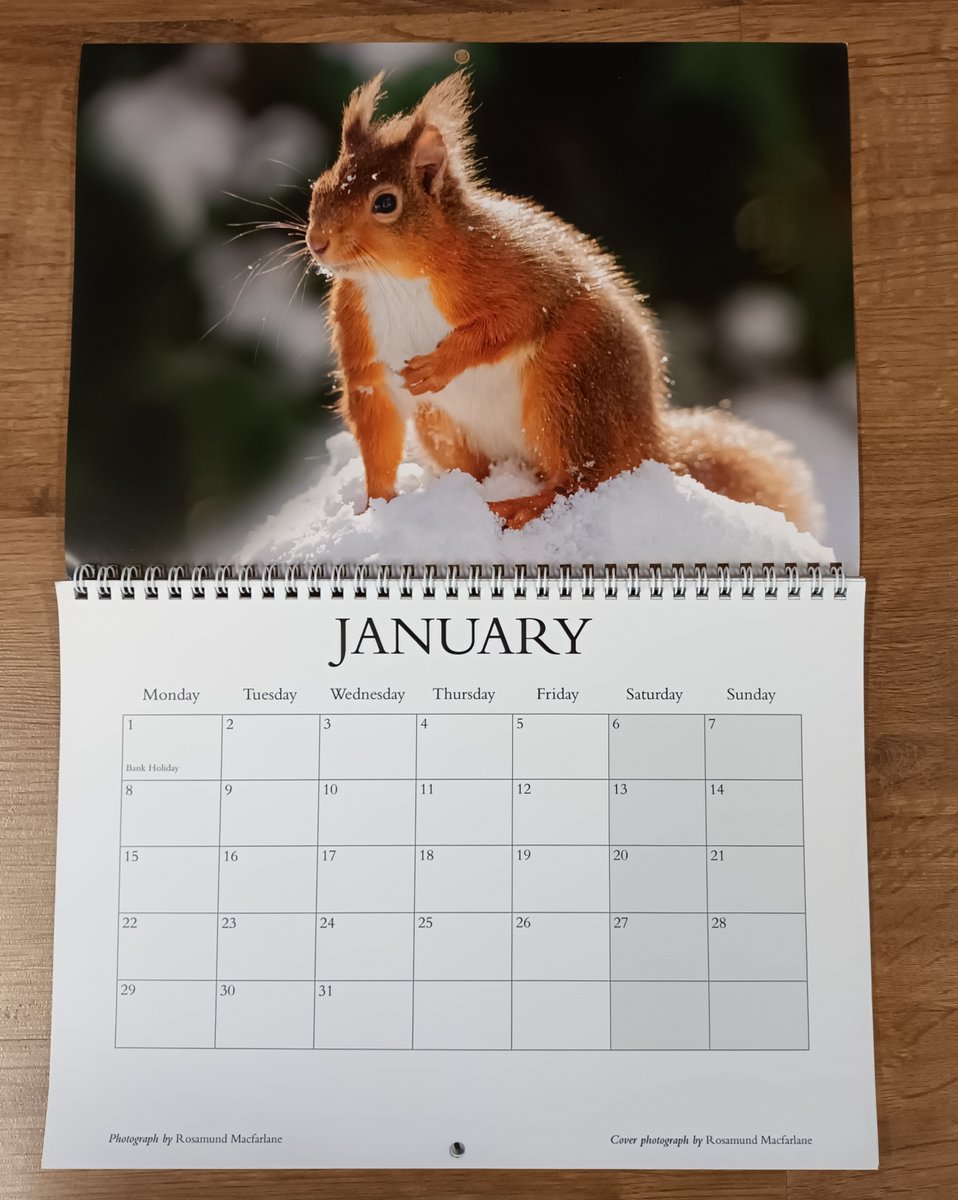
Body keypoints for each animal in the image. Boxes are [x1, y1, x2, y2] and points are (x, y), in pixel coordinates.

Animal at [305, 70, 817, 531]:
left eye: (385, 203)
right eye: (318, 187)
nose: (317, 242)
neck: (394, 279)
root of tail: (651, 444)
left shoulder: (519, 273)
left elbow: (513, 321)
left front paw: (440, 364)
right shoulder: (364, 344)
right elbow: (376, 424)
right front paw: (376, 504)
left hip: (569, 383)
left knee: (580, 480)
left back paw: (519, 507)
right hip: (446, 424)